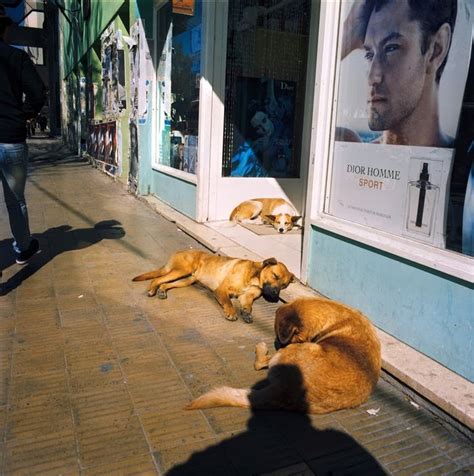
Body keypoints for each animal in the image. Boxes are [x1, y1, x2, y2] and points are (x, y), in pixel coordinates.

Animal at [130, 249, 292, 324]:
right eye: (275, 276)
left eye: (284, 285)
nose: (275, 296)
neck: (254, 278)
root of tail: (178, 251)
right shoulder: (221, 290)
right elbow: (228, 302)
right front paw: (231, 312)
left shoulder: (247, 296)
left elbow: (248, 306)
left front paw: (246, 312)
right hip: (181, 270)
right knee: (157, 279)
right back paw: (152, 289)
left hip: (186, 279)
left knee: (165, 283)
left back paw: (162, 291)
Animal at [185, 298, 382, 412]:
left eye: (281, 337)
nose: (278, 344)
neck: (335, 319)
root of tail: (284, 389)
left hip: (290, 353)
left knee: (259, 364)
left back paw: (261, 348)